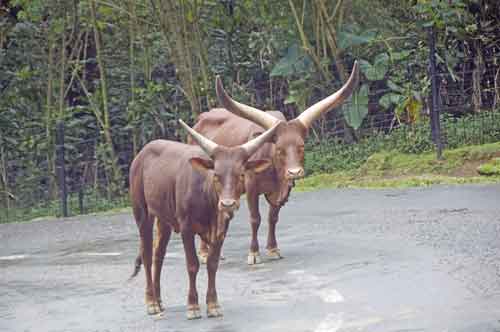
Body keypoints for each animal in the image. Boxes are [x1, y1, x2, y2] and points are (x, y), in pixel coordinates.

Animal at [129, 120, 278, 318]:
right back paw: (151, 302)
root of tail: (143, 152)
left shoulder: (221, 230)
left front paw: (213, 304)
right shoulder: (186, 228)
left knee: (158, 254)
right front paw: (193, 306)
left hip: (164, 219)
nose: (227, 204)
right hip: (142, 213)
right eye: (216, 175)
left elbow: (213, 265)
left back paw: (159, 300)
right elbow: (192, 264)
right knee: (146, 254)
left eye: (241, 174)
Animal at [192, 61, 360, 264]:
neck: (274, 169)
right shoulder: (251, 186)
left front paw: (273, 249)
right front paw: (253, 253)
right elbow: (255, 218)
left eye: (301, 146)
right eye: (279, 148)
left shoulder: (283, 190)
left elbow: (273, 218)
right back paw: (204, 253)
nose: (295, 172)